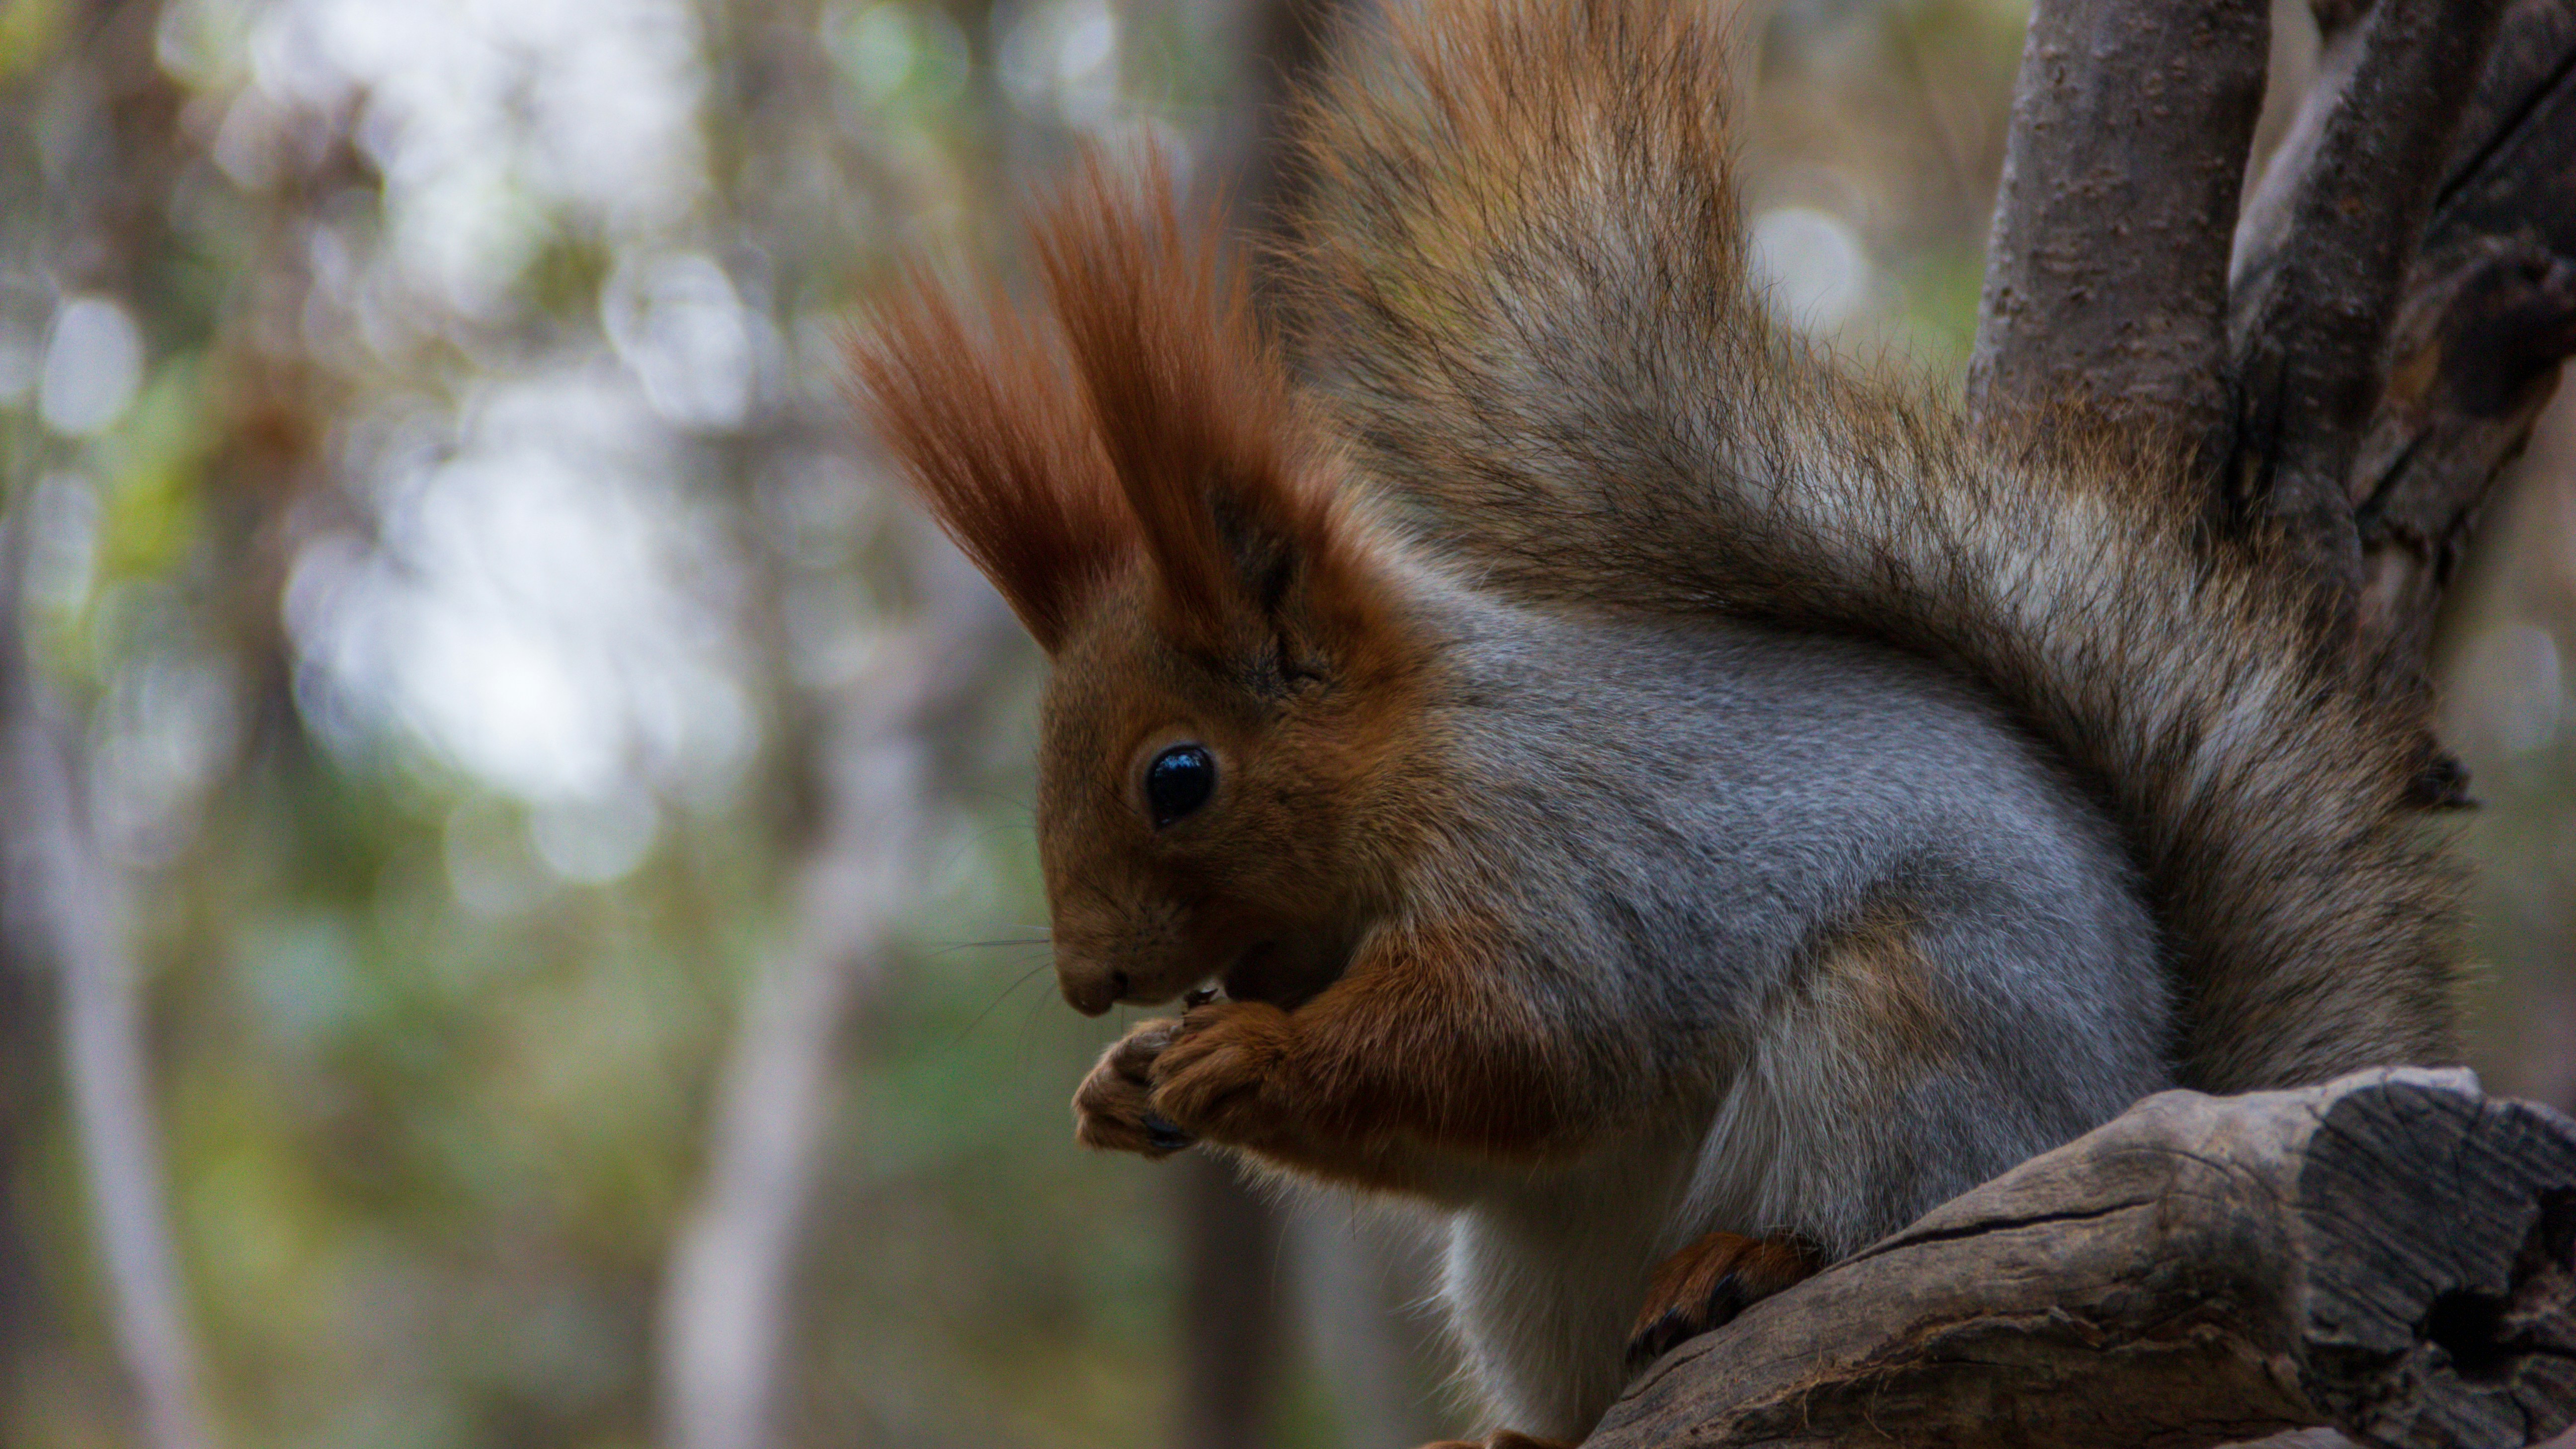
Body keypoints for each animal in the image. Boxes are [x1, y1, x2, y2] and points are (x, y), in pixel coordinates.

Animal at [852, 0, 2464, 1443]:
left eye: (1178, 776)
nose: (1087, 980)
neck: (1414, 767)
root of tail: (2143, 1089)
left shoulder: (1575, 861)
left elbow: (1530, 1040)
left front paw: (1246, 1054)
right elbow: (1459, 1139)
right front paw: (1126, 1082)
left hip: (1913, 1045)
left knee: (1874, 1208)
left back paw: (1754, 1257)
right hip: (1533, 1264)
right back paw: (1507, 1436)